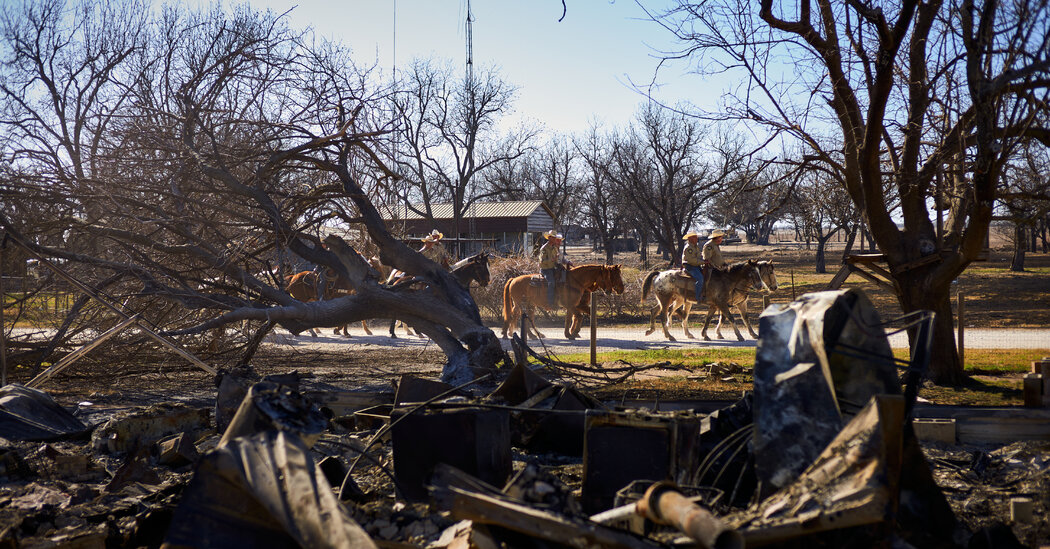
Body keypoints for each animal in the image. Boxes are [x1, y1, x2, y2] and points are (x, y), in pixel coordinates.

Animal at [634, 260, 776, 342]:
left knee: (656, 311)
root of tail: (659, 274)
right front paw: (739, 336)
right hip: (666, 300)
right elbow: (730, 318)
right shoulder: (722, 304)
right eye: (753, 272)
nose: (761, 286)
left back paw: (652, 330)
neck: (727, 279)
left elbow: (710, 319)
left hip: (670, 300)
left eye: (760, 272)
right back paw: (670, 336)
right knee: (665, 316)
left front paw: (706, 335)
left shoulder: (717, 305)